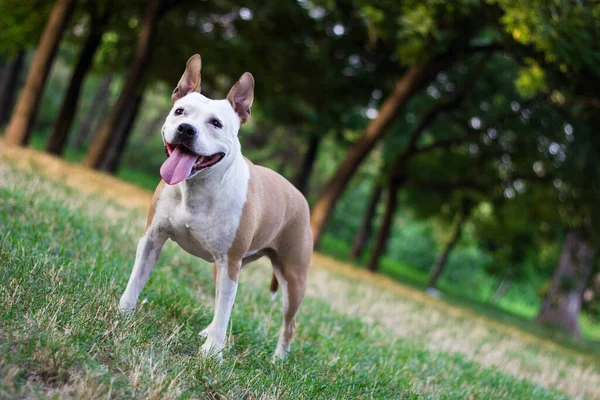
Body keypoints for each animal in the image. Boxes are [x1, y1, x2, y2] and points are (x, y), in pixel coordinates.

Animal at [119, 54, 312, 360]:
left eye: (216, 123)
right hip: (225, 269)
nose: (186, 129)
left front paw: (212, 354)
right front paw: (122, 314)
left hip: (292, 279)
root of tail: (299, 195)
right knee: (224, 302)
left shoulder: (229, 262)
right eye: (180, 112)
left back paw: (278, 360)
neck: (197, 188)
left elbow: (224, 312)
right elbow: (136, 279)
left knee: (288, 323)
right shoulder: (152, 239)